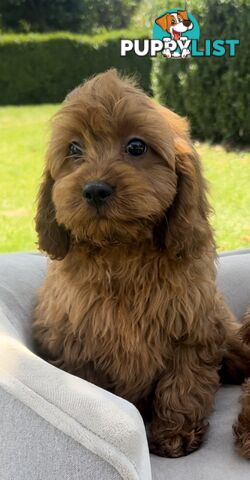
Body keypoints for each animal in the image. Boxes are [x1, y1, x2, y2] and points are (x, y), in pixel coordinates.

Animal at [33, 70, 250, 458]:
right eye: (74, 149)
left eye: (136, 147)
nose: (95, 189)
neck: (122, 250)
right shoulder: (76, 343)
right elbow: (98, 390)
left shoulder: (192, 331)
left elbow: (183, 384)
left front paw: (175, 435)